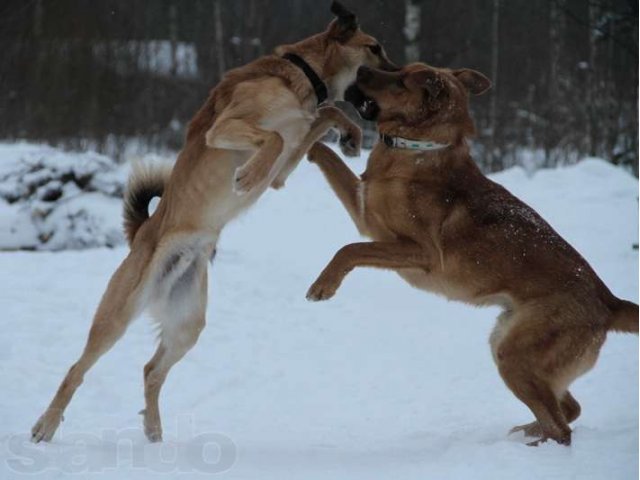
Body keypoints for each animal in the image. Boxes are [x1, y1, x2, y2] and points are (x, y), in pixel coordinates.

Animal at [32, 0, 398, 442]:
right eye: (375, 48)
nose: (400, 74)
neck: (301, 76)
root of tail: (142, 236)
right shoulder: (227, 128)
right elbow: (278, 135)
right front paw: (248, 176)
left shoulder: (284, 170)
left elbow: (323, 114)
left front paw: (350, 136)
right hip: (118, 314)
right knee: (77, 369)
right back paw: (47, 424)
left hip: (189, 322)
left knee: (151, 370)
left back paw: (154, 433)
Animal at [304, 61, 636, 446]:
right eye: (399, 68)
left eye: (400, 81)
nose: (362, 68)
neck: (420, 148)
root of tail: (608, 302)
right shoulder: (365, 215)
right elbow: (331, 163)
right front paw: (311, 144)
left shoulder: (419, 251)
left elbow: (349, 249)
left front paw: (323, 286)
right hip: (506, 344)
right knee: (568, 409)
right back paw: (526, 432)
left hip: (514, 357)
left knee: (562, 427)